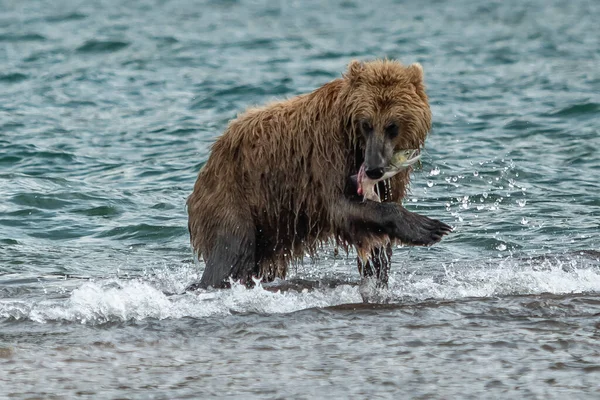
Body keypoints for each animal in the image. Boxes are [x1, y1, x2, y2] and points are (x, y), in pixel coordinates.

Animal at [186, 59, 450, 290]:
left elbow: (377, 232)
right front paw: (429, 227)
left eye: (392, 126)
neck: (355, 142)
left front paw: (378, 276)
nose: (374, 169)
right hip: (233, 195)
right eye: (366, 123)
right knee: (232, 252)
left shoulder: (389, 179)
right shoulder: (327, 150)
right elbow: (342, 206)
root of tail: (212, 154)